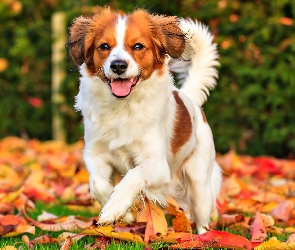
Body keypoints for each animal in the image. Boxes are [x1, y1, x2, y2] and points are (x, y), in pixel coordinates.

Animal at [68, 7, 222, 234]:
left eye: (138, 46)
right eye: (104, 46)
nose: (118, 65)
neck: (123, 107)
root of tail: (190, 98)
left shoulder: (158, 165)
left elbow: (134, 173)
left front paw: (115, 206)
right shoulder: (95, 154)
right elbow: (97, 184)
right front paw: (124, 214)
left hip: (199, 182)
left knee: (202, 218)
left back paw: (204, 236)